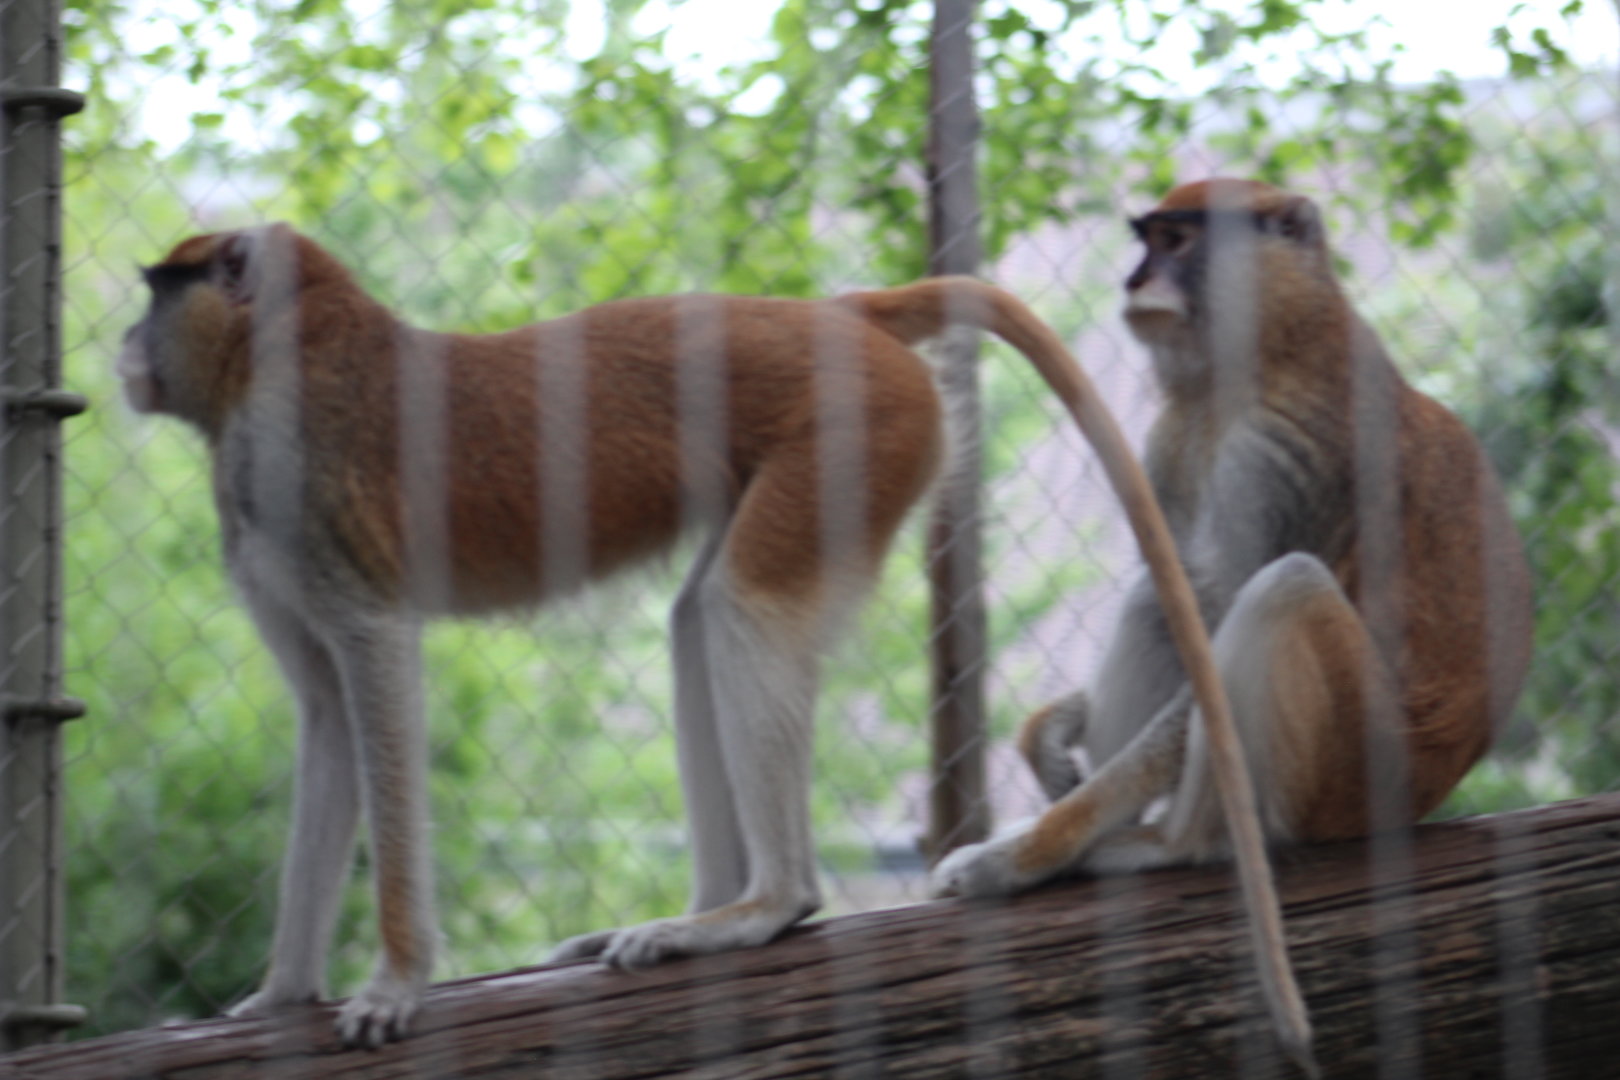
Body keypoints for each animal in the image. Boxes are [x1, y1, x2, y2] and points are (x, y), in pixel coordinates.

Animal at [116, 222, 1301, 1052]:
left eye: (155, 289)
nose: (126, 345)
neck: (284, 351)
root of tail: (844, 315)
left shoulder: (307, 490)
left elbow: (379, 683)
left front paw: (395, 986)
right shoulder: (271, 536)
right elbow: (326, 716)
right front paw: (278, 995)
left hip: (857, 436)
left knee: (744, 611)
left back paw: (761, 908)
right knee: (700, 623)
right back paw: (701, 911)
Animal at [932, 178, 1533, 1067]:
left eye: (1177, 242)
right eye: (1147, 240)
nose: (1135, 280)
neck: (1270, 345)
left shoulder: (1280, 457)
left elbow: (1219, 641)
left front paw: (1020, 857)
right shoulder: (1178, 441)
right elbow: (1181, 602)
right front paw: (1053, 735)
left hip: (1357, 767)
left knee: (1285, 589)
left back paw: (1175, 846)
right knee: (1160, 601)